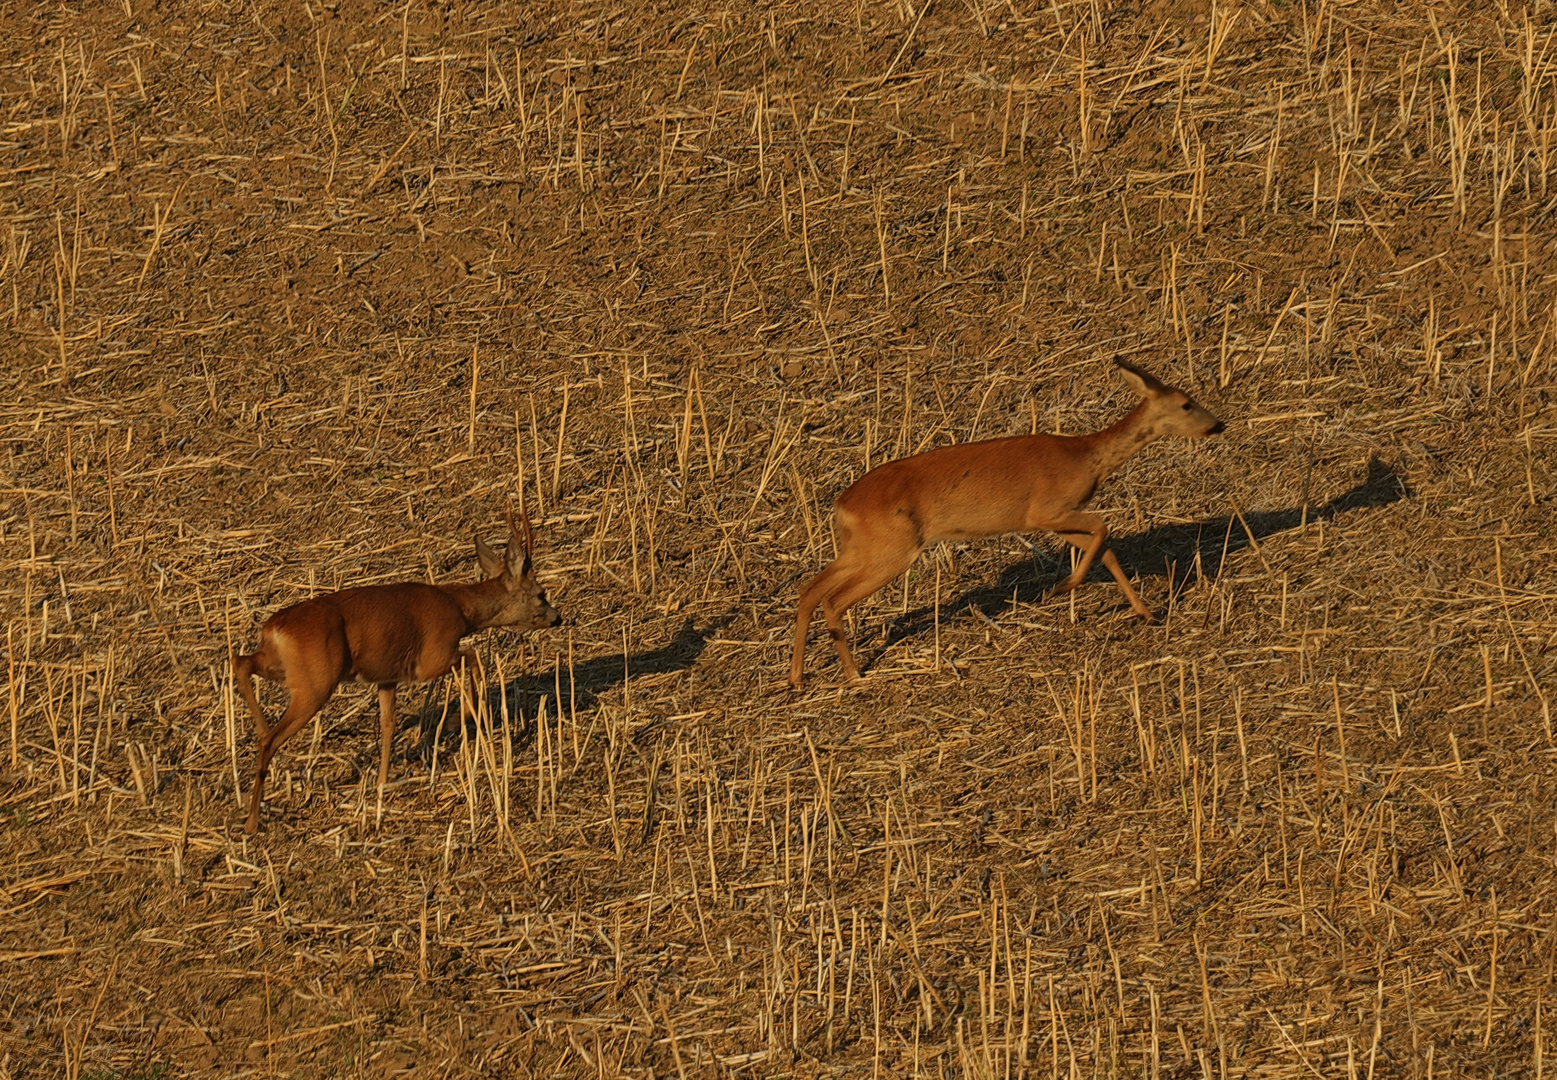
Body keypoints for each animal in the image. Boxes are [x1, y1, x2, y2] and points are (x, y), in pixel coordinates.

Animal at [233, 507, 563, 840]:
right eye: (541, 594)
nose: (557, 618)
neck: (461, 610)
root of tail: (274, 629)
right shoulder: (432, 658)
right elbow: (475, 658)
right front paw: (454, 721)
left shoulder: (386, 677)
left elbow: (388, 723)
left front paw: (381, 781)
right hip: (316, 682)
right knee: (271, 737)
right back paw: (252, 819)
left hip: (283, 667)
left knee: (239, 661)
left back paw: (258, 732)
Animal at [797, 359, 1220, 690]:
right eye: (1186, 403)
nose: (1218, 425)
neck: (1085, 458)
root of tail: (842, 505)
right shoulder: (1045, 510)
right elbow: (1103, 530)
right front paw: (1062, 587)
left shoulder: (1056, 520)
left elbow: (1105, 549)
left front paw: (1147, 614)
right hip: (892, 550)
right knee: (833, 599)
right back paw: (853, 674)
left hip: (862, 546)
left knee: (810, 589)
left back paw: (796, 678)